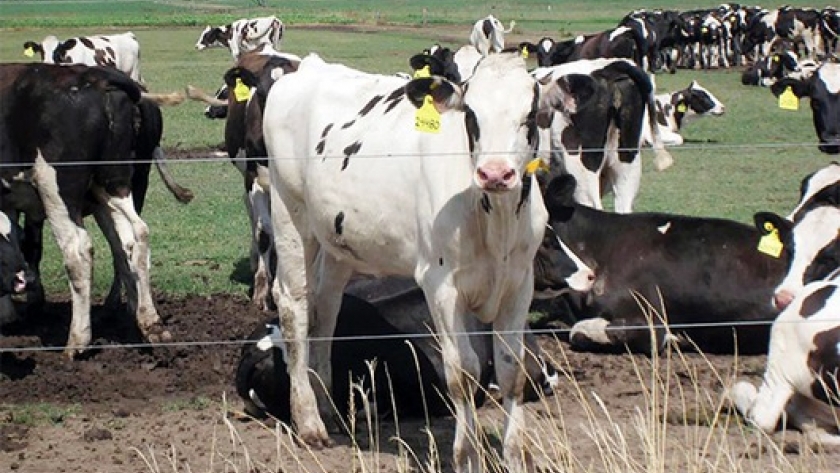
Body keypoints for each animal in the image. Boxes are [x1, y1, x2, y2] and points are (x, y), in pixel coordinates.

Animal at [0, 63, 191, 356]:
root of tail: (98, 77)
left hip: (57, 189)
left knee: (78, 251)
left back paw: (77, 341)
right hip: (115, 184)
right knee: (134, 238)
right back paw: (148, 322)